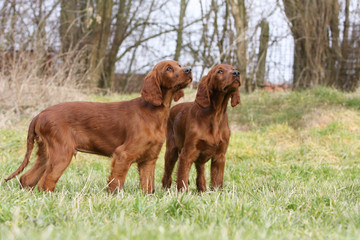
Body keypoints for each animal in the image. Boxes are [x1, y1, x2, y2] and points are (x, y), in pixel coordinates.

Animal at [4, 60, 193, 193]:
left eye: (179, 65)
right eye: (168, 69)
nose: (189, 69)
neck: (154, 112)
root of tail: (39, 115)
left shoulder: (149, 159)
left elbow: (148, 188)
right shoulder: (123, 154)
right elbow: (116, 183)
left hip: (47, 153)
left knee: (27, 178)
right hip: (62, 153)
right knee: (45, 182)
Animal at [162, 63, 240, 191]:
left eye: (233, 69)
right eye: (220, 71)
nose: (237, 73)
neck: (215, 115)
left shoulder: (220, 156)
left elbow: (217, 181)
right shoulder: (187, 154)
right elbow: (182, 179)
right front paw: (182, 194)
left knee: (200, 171)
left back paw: (202, 190)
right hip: (171, 151)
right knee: (167, 174)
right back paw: (165, 190)